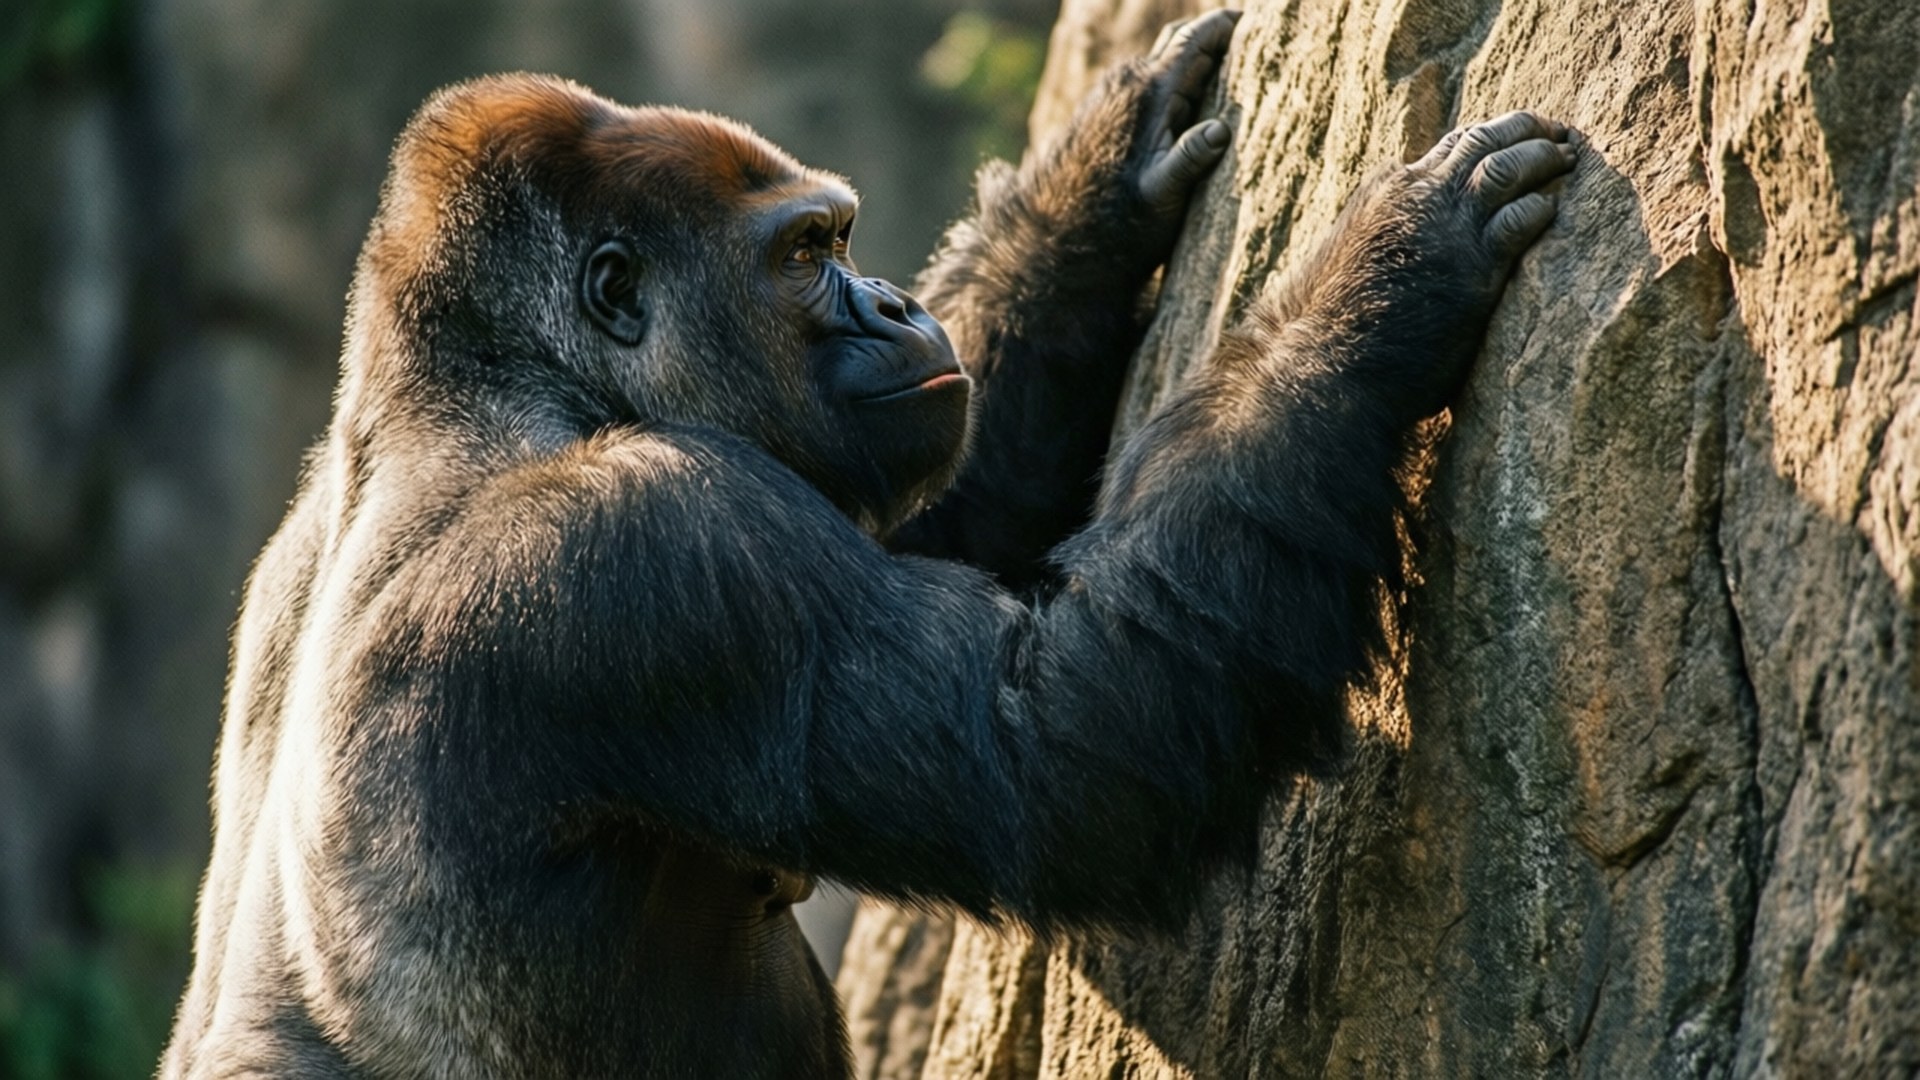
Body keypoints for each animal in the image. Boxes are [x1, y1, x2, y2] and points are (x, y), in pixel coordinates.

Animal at [160, 10, 1575, 1076]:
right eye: (804, 255)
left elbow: (959, 505)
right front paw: (1383, 287)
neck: (493, 393)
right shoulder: (662, 549)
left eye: (838, 237)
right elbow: (1058, 746)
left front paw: (1092, 184)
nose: (896, 304)